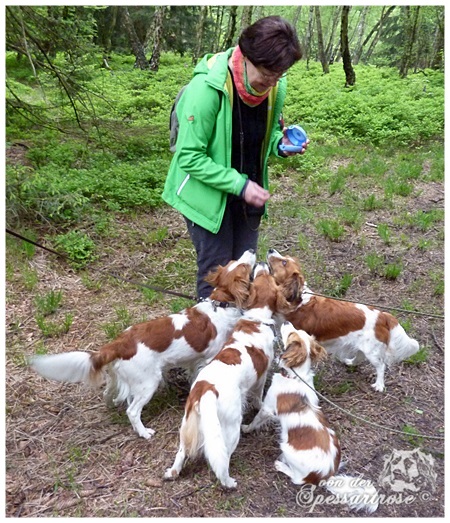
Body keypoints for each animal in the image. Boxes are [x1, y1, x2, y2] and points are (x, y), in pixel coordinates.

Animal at [29, 250, 256, 438]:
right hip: (149, 381)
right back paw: (144, 432)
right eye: (244, 266)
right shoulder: (209, 356)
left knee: (109, 394)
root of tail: (119, 343)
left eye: (235, 261)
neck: (221, 304)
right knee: (132, 411)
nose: (252, 249)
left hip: (120, 378)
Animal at [164, 264, 292, 490]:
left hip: (187, 425)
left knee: (181, 452)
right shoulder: (260, 378)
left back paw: (173, 472)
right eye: (264, 275)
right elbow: (258, 398)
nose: (262, 264)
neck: (256, 320)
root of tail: (206, 388)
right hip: (231, 428)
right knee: (222, 460)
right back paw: (229, 482)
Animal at [243, 322, 380, 512]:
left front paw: (246, 428)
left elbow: (256, 420)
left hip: (287, 449)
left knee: (297, 479)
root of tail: (326, 475)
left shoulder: (267, 409)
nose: (286, 322)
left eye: (290, 334)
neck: (296, 376)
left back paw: (281, 465)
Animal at [268, 250, 418, 392]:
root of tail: (383, 315)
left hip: (372, 352)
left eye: (284, 262)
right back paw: (350, 362)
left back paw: (379, 385)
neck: (298, 300)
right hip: (364, 347)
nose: (270, 250)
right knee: (360, 356)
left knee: (381, 366)